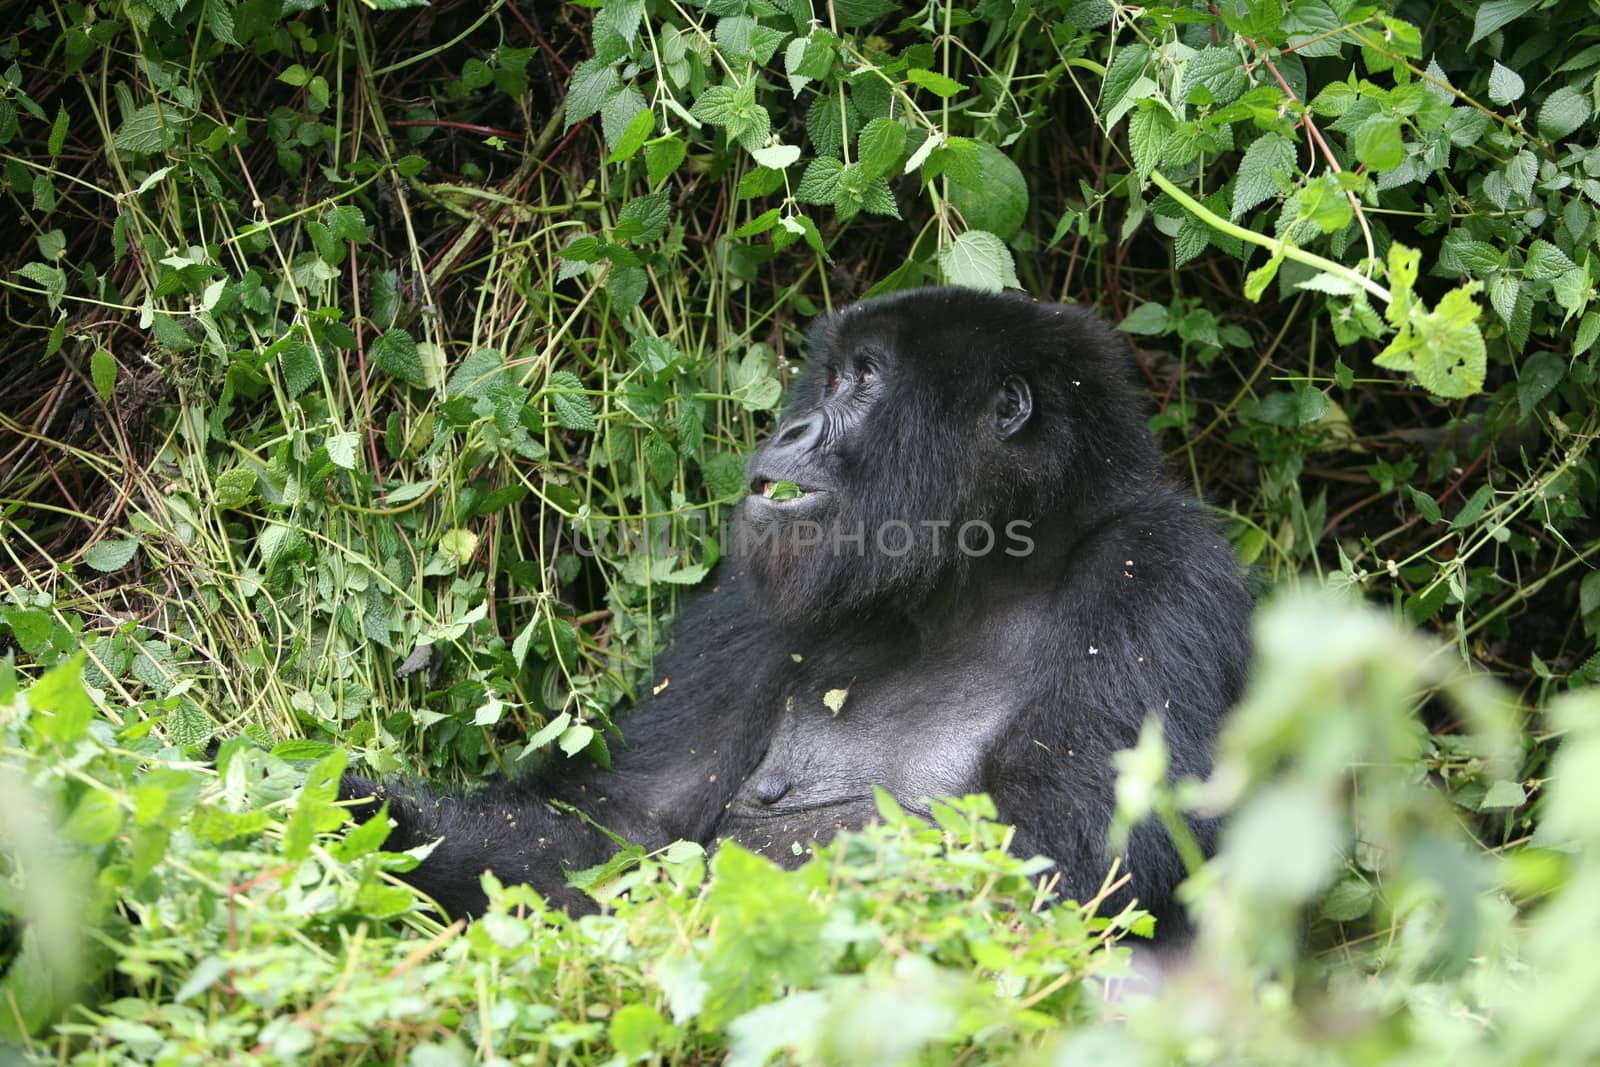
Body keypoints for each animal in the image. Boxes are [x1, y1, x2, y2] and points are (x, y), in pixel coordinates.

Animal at [347, 287, 1248, 940]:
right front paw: (368, 818)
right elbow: (617, 830)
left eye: (867, 377)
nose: (791, 425)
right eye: (836, 374)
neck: (980, 573)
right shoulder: (755, 606)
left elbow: (1068, 863)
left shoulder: (1160, 572)